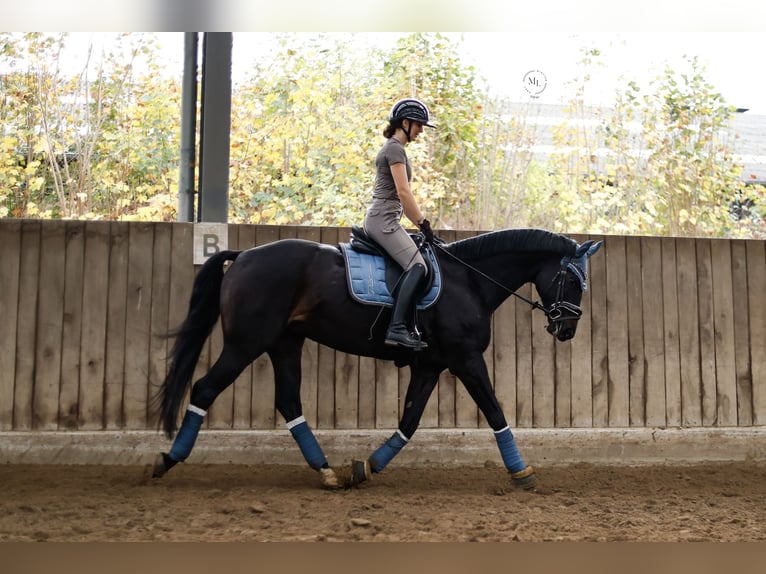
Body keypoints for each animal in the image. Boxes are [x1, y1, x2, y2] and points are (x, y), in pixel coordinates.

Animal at [152, 227, 602, 490]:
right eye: (573, 280)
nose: (567, 329)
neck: (469, 280)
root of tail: (243, 255)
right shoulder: (466, 359)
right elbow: (495, 412)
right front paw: (521, 471)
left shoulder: (431, 365)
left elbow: (410, 421)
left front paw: (366, 467)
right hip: (247, 343)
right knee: (204, 388)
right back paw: (168, 460)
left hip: (285, 344)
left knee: (289, 402)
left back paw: (326, 471)